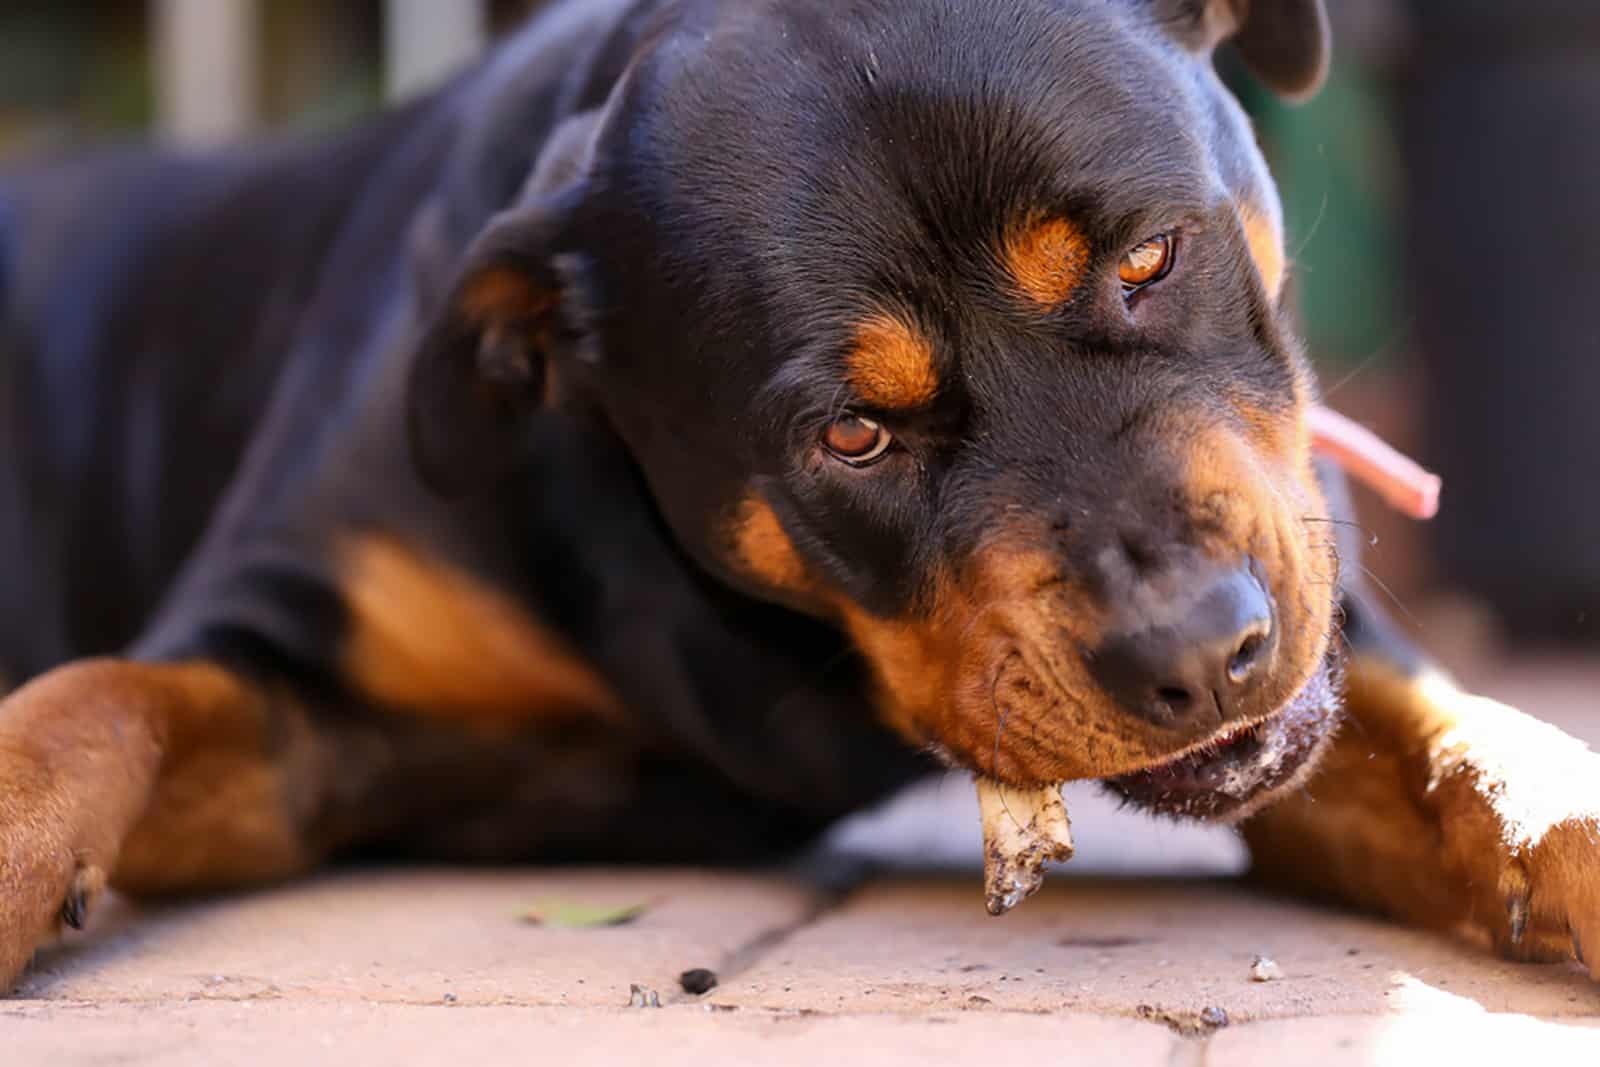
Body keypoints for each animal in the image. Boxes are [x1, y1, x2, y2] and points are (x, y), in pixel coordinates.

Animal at [3, 0, 1600, 991]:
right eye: (852, 434)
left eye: (1148, 259)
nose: (1197, 650)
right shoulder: (293, 690)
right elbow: (98, 698)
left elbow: (1466, 736)